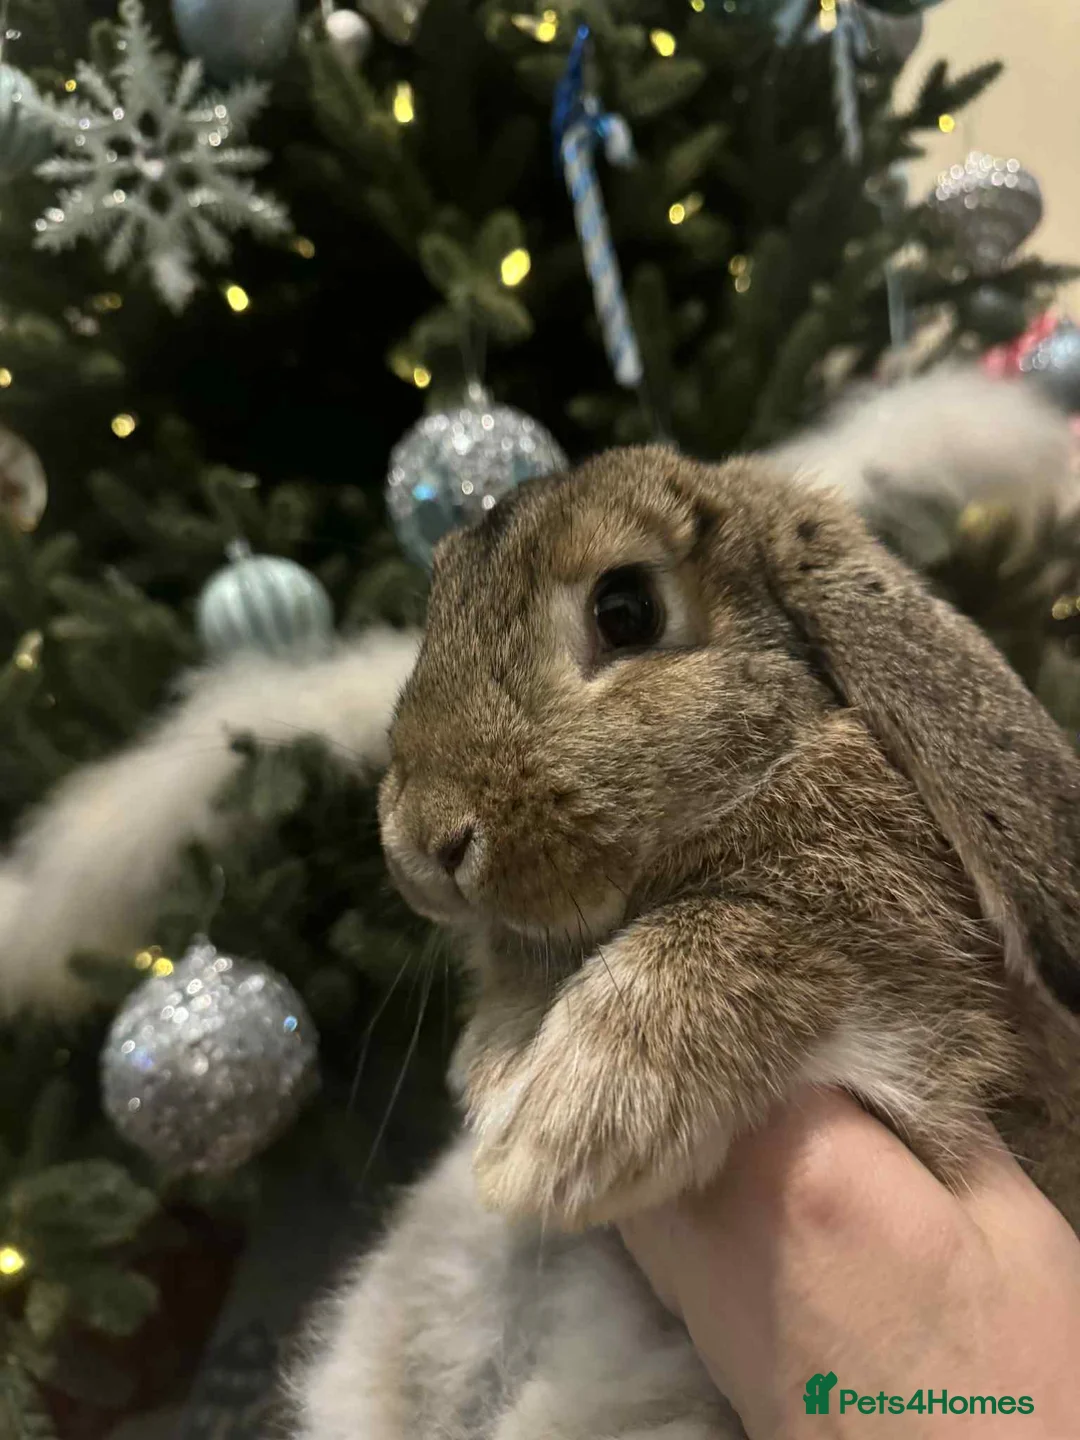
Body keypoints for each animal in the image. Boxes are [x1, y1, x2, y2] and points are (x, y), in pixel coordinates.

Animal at [290, 446, 1080, 1439]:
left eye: (625, 610)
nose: (426, 841)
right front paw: (499, 1056)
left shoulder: (913, 982)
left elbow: (750, 933)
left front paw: (557, 1131)